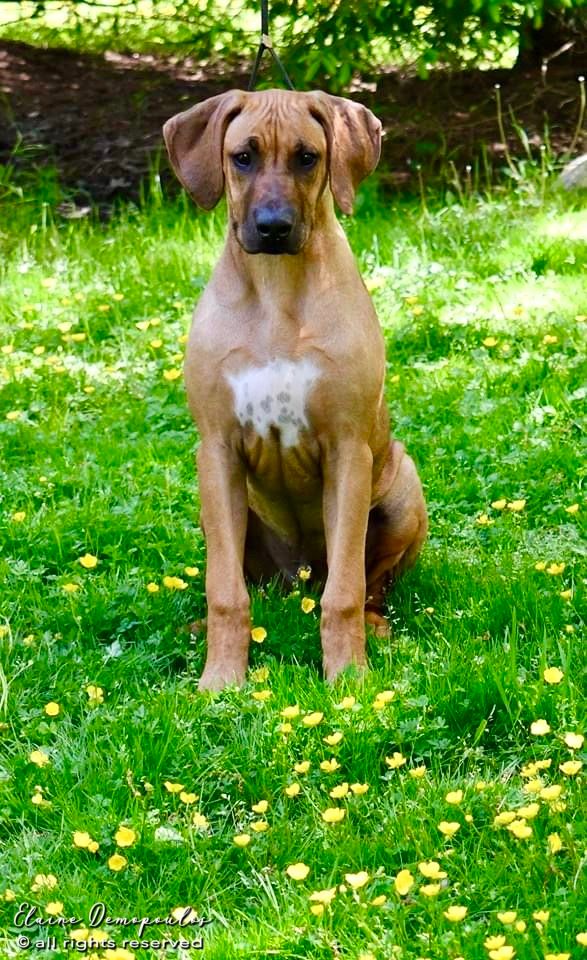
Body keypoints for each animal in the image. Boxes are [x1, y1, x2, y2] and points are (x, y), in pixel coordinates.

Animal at [163, 89, 427, 691]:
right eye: (242, 157)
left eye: (308, 157)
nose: (273, 227)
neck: (277, 292)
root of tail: (300, 578)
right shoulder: (216, 450)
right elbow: (225, 591)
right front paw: (221, 680)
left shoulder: (348, 451)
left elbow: (346, 592)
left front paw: (348, 679)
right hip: (216, 509)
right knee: (245, 581)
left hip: (403, 487)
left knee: (370, 585)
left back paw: (375, 627)